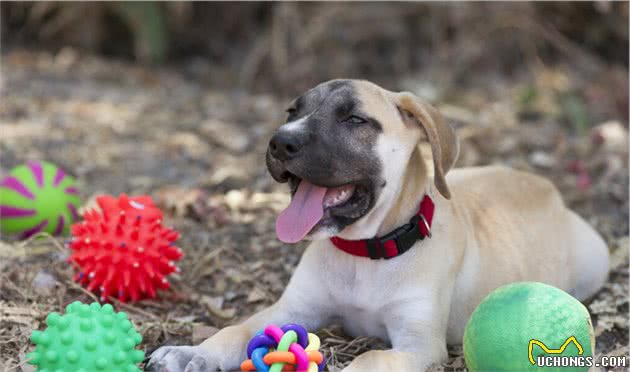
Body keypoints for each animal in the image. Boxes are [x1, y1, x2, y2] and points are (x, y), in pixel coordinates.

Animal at [149, 79, 612, 372]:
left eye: (354, 120)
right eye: (292, 111)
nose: (280, 141)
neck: (365, 253)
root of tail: (546, 186)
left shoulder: (419, 344)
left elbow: (369, 358)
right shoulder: (289, 309)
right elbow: (236, 329)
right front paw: (191, 353)